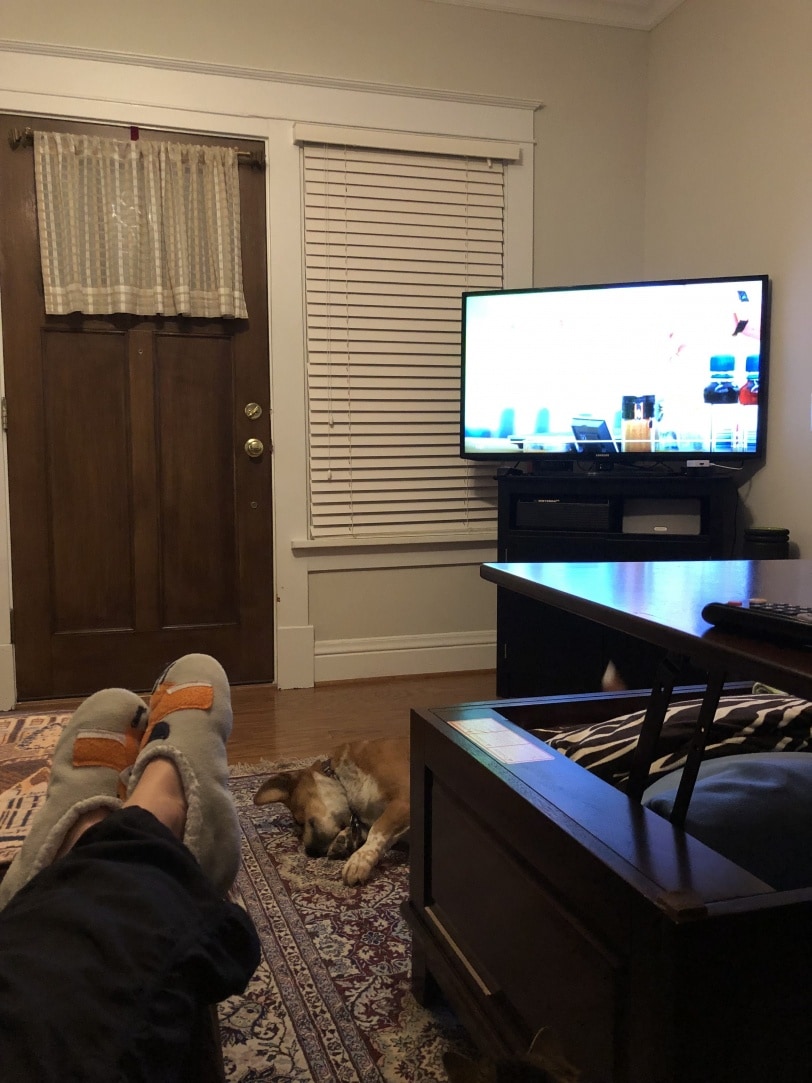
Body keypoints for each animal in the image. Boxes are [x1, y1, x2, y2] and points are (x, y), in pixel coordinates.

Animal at [253, 736, 409, 886]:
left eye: (300, 821)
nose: (312, 852)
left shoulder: (404, 799)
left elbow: (377, 829)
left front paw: (359, 860)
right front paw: (345, 839)